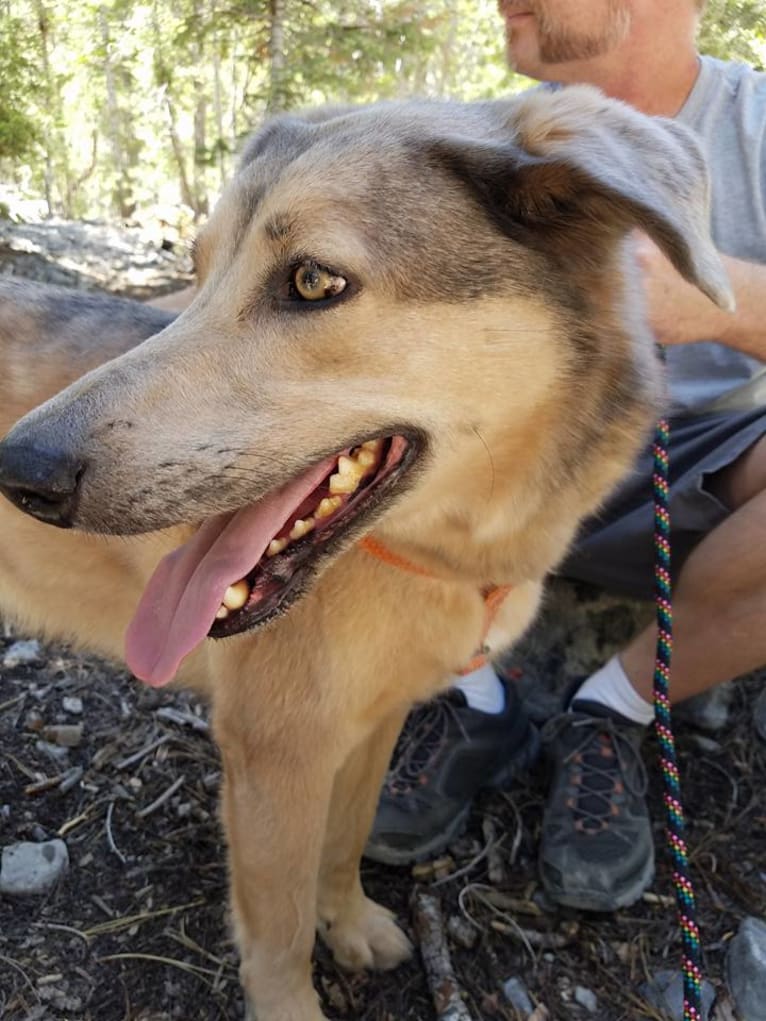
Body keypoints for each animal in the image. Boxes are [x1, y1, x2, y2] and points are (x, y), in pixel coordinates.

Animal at [0, 89, 731, 1021]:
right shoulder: (274, 755)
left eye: (314, 281)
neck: (438, 556)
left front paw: (349, 926)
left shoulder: (373, 723)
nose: (20, 470)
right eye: (197, 272)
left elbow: (345, 845)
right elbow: (276, 933)